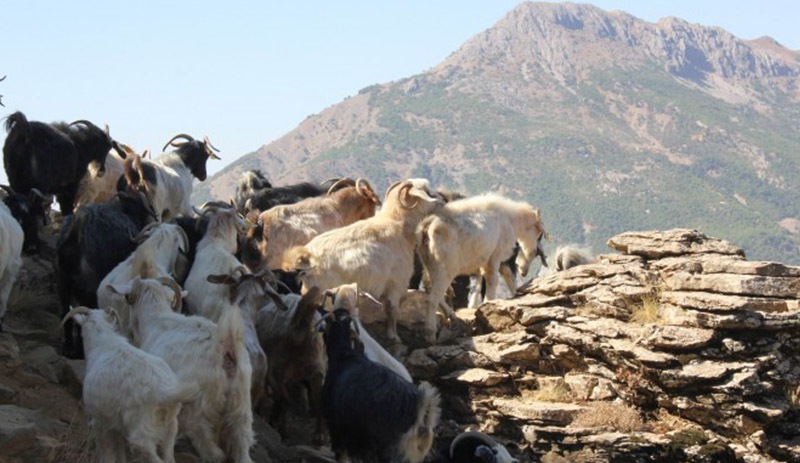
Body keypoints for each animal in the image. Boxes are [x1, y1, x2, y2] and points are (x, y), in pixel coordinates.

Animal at [61, 308, 198, 463]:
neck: (104, 344)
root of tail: (163, 390)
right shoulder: (116, 424)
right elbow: (120, 451)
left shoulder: (100, 421)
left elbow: (106, 453)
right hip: (170, 427)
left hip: (141, 432)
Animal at [109, 278, 253, 463]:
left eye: (128, 298)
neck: (157, 318)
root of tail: (226, 348)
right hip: (241, 406)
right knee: (243, 444)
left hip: (198, 410)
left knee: (211, 450)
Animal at [282, 178, 446, 344]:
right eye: (426, 191)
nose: (443, 200)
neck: (398, 224)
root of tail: (306, 256)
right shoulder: (396, 283)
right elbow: (393, 311)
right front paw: (394, 336)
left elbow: (387, 309)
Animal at [418, 194, 544, 342]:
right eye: (538, 233)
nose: (524, 271)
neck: (511, 219)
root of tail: (428, 227)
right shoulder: (495, 256)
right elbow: (493, 280)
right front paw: (490, 303)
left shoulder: (487, 261)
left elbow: (490, 281)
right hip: (443, 269)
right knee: (433, 298)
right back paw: (430, 333)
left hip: (428, 265)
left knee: (430, 290)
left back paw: (451, 316)